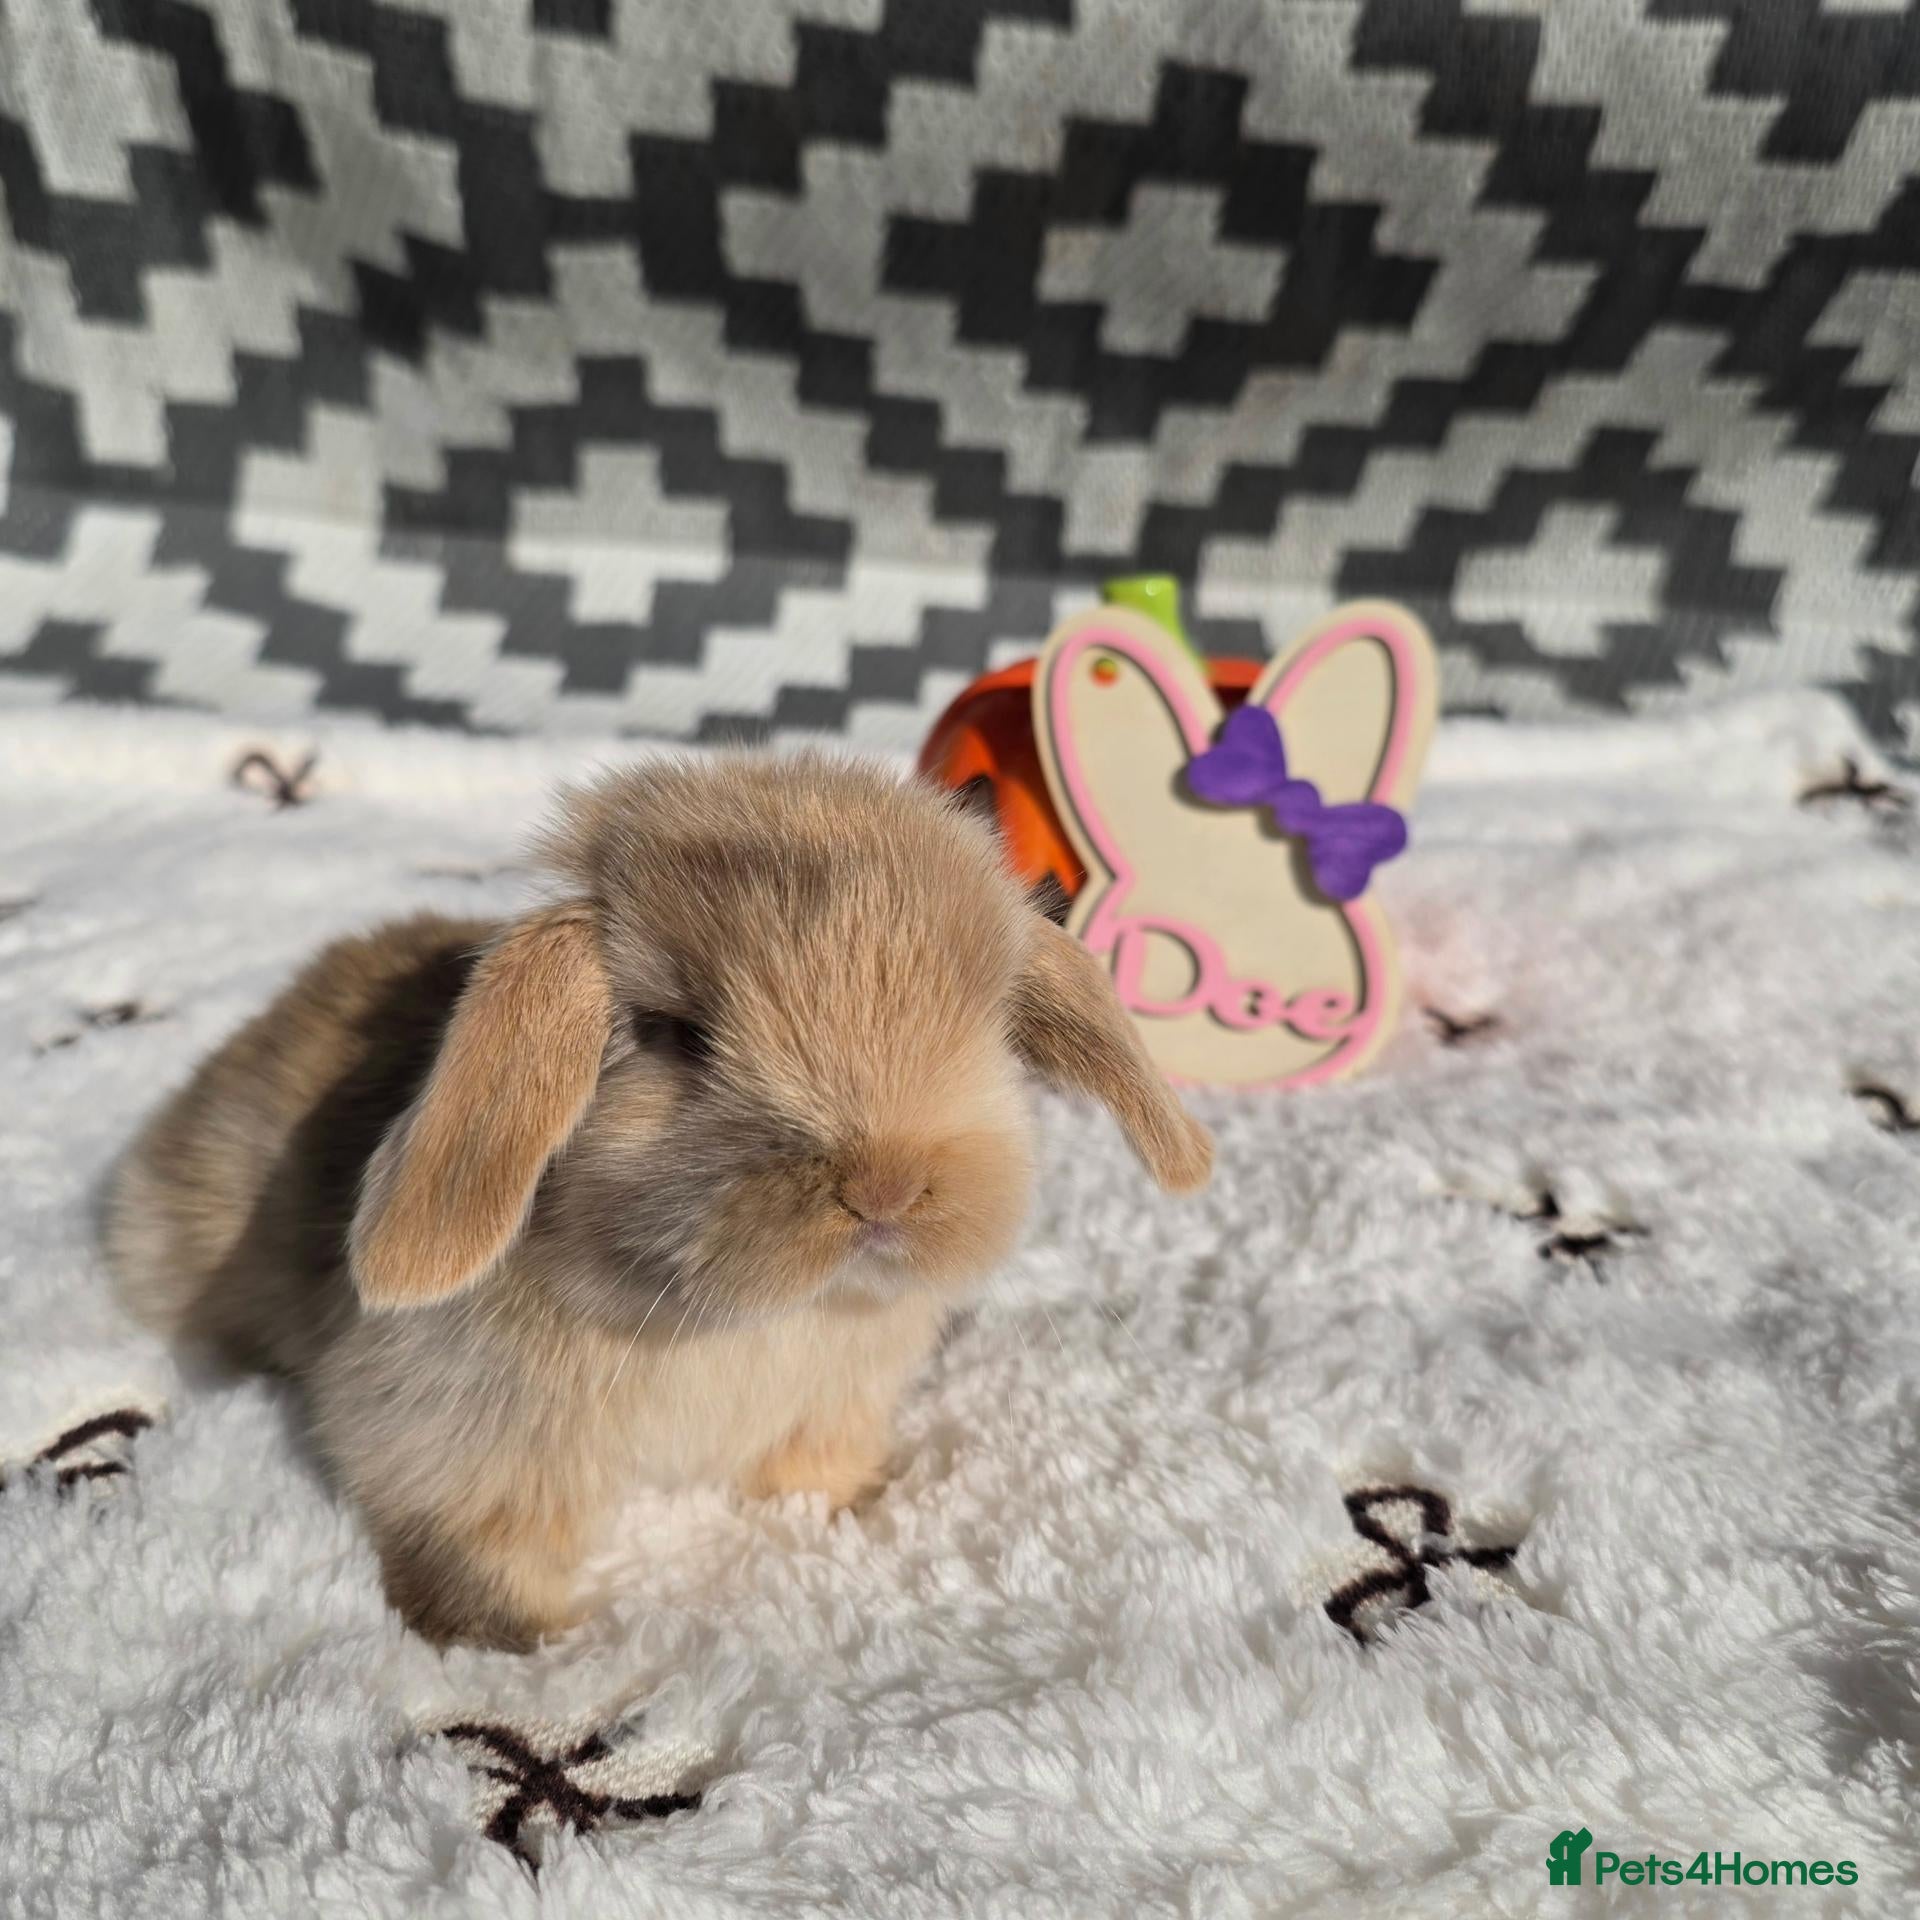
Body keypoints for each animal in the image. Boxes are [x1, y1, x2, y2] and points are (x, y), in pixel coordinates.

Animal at [105, 752, 1212, 1650]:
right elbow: (468, 1531)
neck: (743, 1318)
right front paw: (515, 1642)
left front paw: (839, 1512)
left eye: (987, 1024)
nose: (886, 1186)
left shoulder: (839, 1402)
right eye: (676, 1034)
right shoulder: (456, 1433)